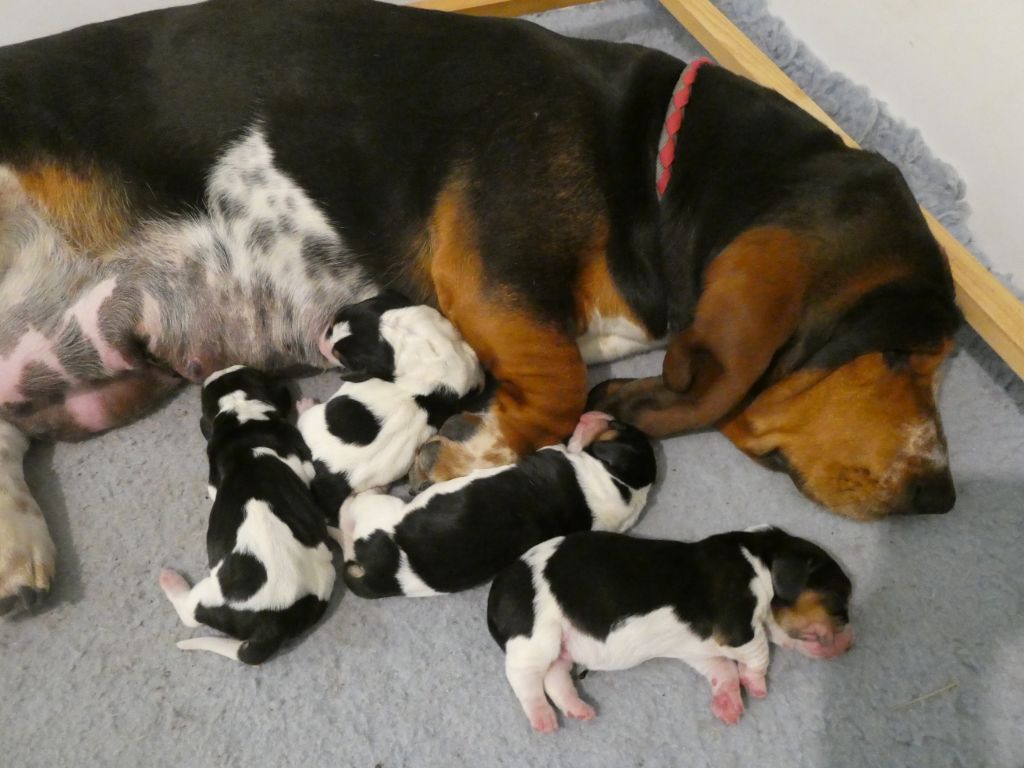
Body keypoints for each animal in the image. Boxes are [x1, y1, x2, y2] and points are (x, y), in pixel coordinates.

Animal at [294, 290, 481, 520]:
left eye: (343, 358)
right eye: (333, 323)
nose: (321, 341)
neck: (400, 332)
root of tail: (335, 474)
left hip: (311, 420)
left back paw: (304, 403)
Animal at [335, 415, 655, 602]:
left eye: (621, 428)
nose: (608, 416)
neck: (625, 487)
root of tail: (381, 574)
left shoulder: (557, 453)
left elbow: (569, 446)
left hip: (374, 509)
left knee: (348, 510)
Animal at [487, 528, 856, 733]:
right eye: (840, 598)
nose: (851, 638)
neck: (761, 560)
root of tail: (497, 588)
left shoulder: (700, 648)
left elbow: (724, 670)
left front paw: (729, 703)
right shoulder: (736, 628)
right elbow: (760, 650)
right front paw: (757, 685)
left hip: (562, 645)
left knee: (555, 677)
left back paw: (578, 709)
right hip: (535, 637)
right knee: (523, 678)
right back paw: (542, 718)